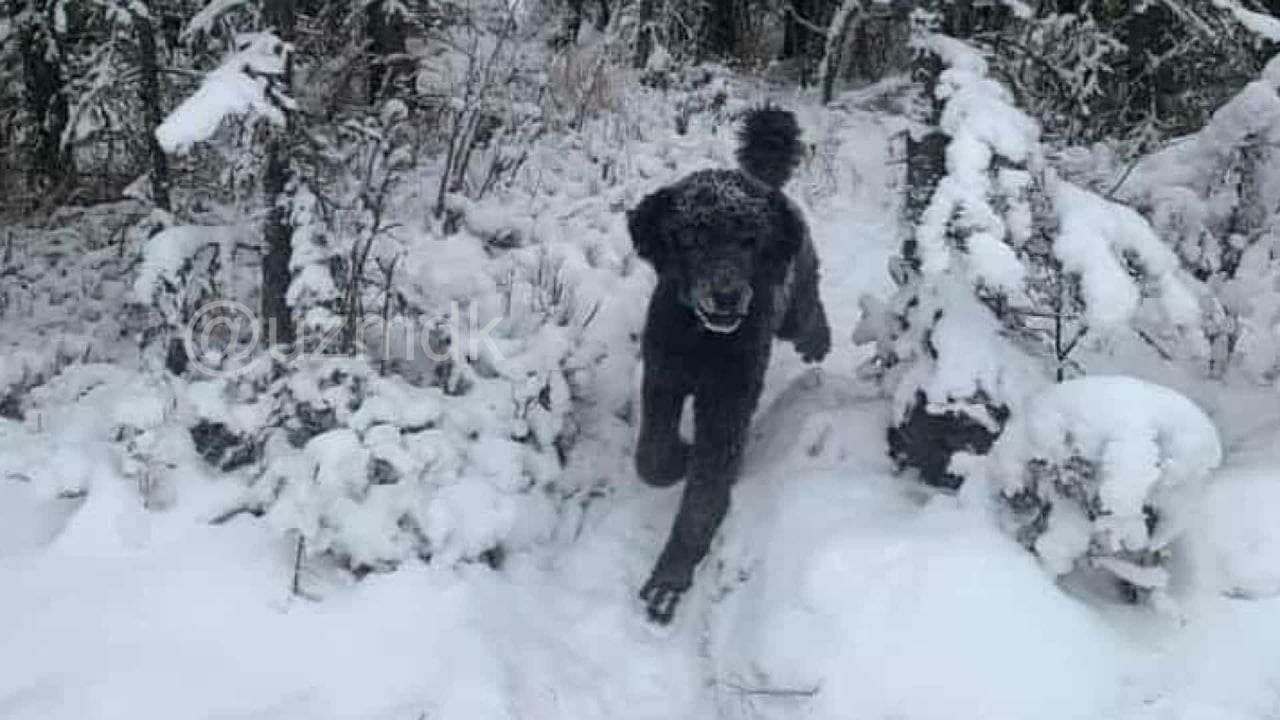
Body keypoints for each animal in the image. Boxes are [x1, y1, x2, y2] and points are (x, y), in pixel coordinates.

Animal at [627, 107, 829, 622]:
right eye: (691, 237)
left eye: (749, 240)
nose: (726, 295)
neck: (703, 342)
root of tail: (763, 182)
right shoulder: (663, 377)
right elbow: (650, 458)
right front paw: (678, 457)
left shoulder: (727, 405)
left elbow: (703, 498)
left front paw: (670, 579)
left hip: (792, 298)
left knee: (807, 312)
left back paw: (819, 340)